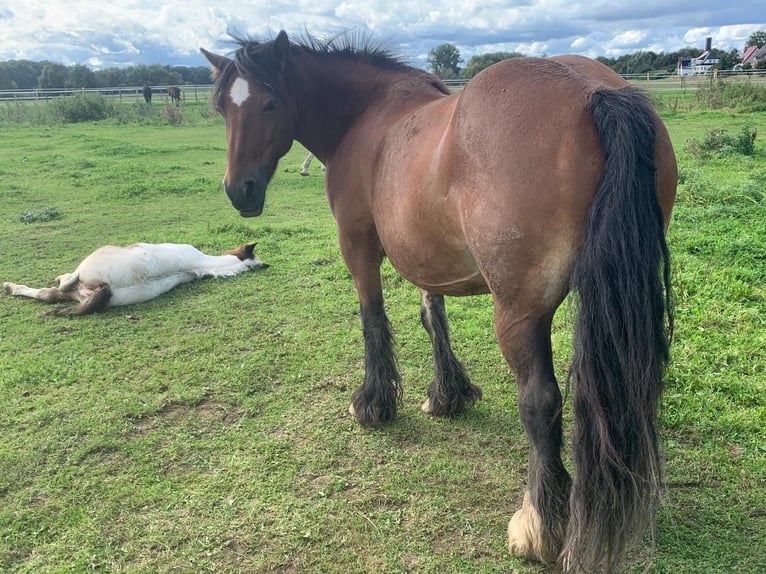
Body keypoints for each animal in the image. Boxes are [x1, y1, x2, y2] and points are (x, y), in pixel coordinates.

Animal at [3, 241, 268, 318]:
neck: (198, 265)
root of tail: (106, 287)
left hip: (85, 267)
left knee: (59, 285)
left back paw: (8, 286)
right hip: (77, 293)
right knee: (48, 294)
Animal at [202, 32, 680, 574]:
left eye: (268, 103)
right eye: (223, 107)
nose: (239, 191)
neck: (367, 117)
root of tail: (592, 92)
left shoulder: (357, 246)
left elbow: (373, 319)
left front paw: (374, 402)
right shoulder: (425, 252)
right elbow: (433, 317)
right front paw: (449, 393)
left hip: (518, 313)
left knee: (540, 402)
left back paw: (537, 525)